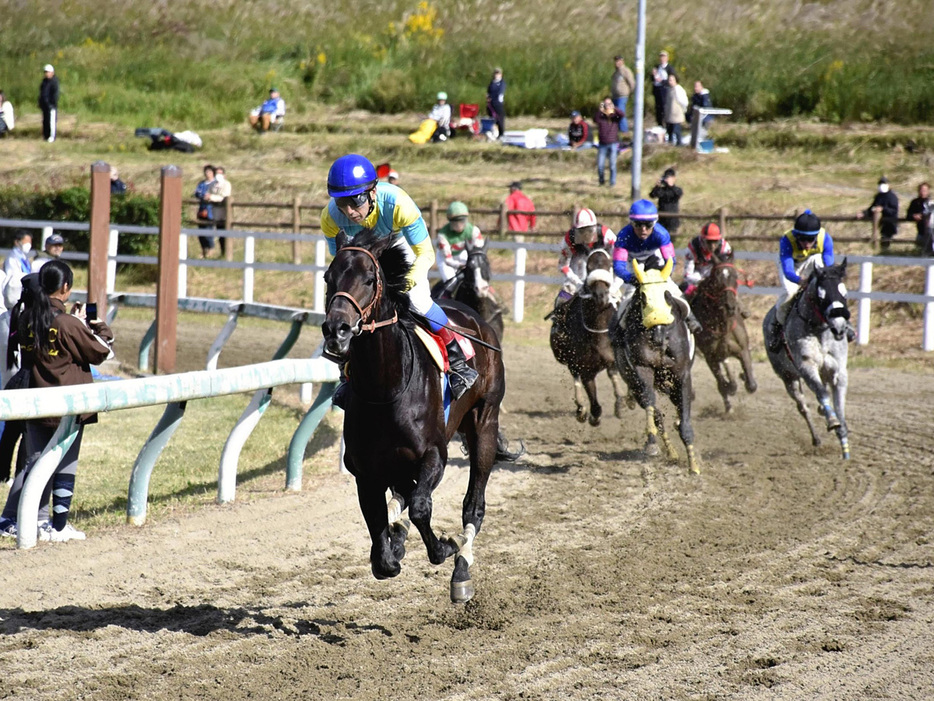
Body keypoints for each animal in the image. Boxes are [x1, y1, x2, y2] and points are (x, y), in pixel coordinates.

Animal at [322, 230, 512, 600]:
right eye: (327, 278)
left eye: (370, 279)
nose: (337, 330)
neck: (386, 389)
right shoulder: (365, 472)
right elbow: (382, 548)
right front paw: (390, 548)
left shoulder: (434, 454)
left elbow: (422, 506)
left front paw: (444, 547)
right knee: (405, 497)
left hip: (484, 420)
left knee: (473, 504)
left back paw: (461, 570)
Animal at [612, 260, 700, 474]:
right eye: (643, 298)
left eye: (667, 296)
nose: (658, 335)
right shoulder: (642, 368)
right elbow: (651, 403)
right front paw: (652, 442)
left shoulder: (682, 375)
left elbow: (685, 418)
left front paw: (693, 465)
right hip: (633, 381)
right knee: (655, 411)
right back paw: (666, 449)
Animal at [692, 252, 756, 412]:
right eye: (717, 278)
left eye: (735, 276)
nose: (730, 307)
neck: (722, 325)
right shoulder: (710, 357)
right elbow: (723, 384)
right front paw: (730, 386)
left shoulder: (743, 349)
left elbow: (751, 385)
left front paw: (743, 376)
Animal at [764, 258, 852, 460]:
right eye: (822, 296)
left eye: (844, 294)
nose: (840, 327)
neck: (819, 331)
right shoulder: (806, 367)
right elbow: (822, 393)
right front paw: (832, 421)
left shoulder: (839, 372)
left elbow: (840, 406)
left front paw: (844, 446)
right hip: (788, 377)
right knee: (803, 406)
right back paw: (816, 438)